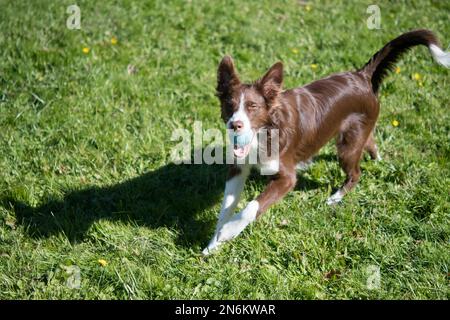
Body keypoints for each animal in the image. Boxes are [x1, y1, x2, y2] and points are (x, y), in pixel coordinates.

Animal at [203, 30, 446, 255]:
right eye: (229, 105)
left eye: (252, 107)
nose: (234, 125)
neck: (266, 132)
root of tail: (362, 75)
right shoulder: (237, 168)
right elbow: (226, 208)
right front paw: (213, 243)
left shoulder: (287, 177)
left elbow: (252, 206)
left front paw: (229, 231)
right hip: (358, 133)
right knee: (370, 142)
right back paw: (377, 160)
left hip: (347, 146)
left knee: (356, 173)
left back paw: (335, 197)